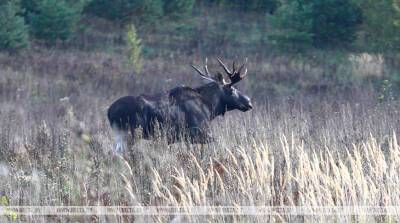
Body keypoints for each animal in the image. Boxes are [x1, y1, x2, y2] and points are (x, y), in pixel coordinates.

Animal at [108, 58, 252, 152]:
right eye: (232, 89)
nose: (249, 102)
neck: (210, 107)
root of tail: (109, 112)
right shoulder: (198, 133)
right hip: (129, 133)